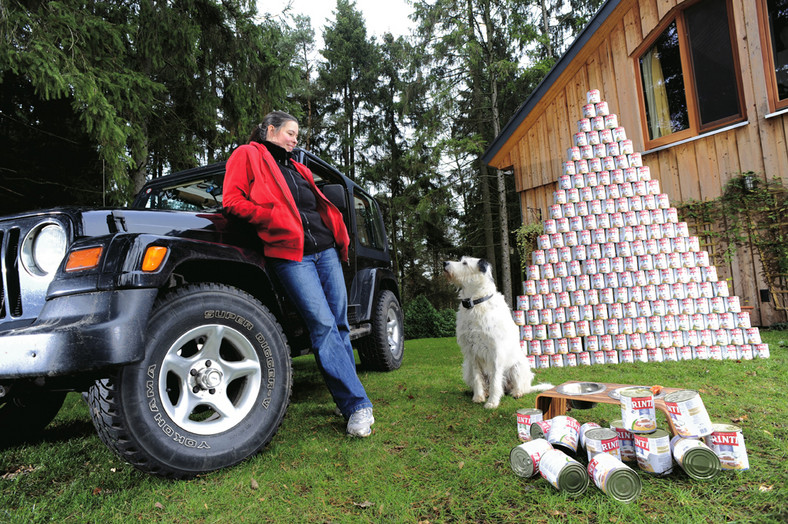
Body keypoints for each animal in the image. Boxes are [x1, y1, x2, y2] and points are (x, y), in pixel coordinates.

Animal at [444, 258, 556, 410]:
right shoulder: (471, 353)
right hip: (466, 369)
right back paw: (484, 393)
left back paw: (517, 392)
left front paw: (492, 402)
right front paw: (478, 397)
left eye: (465, 263)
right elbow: (478, 378)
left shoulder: (495, 352)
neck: (476, 303)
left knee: (519, 387)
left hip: (518, 367)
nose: (444, 263)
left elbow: (496, 380)